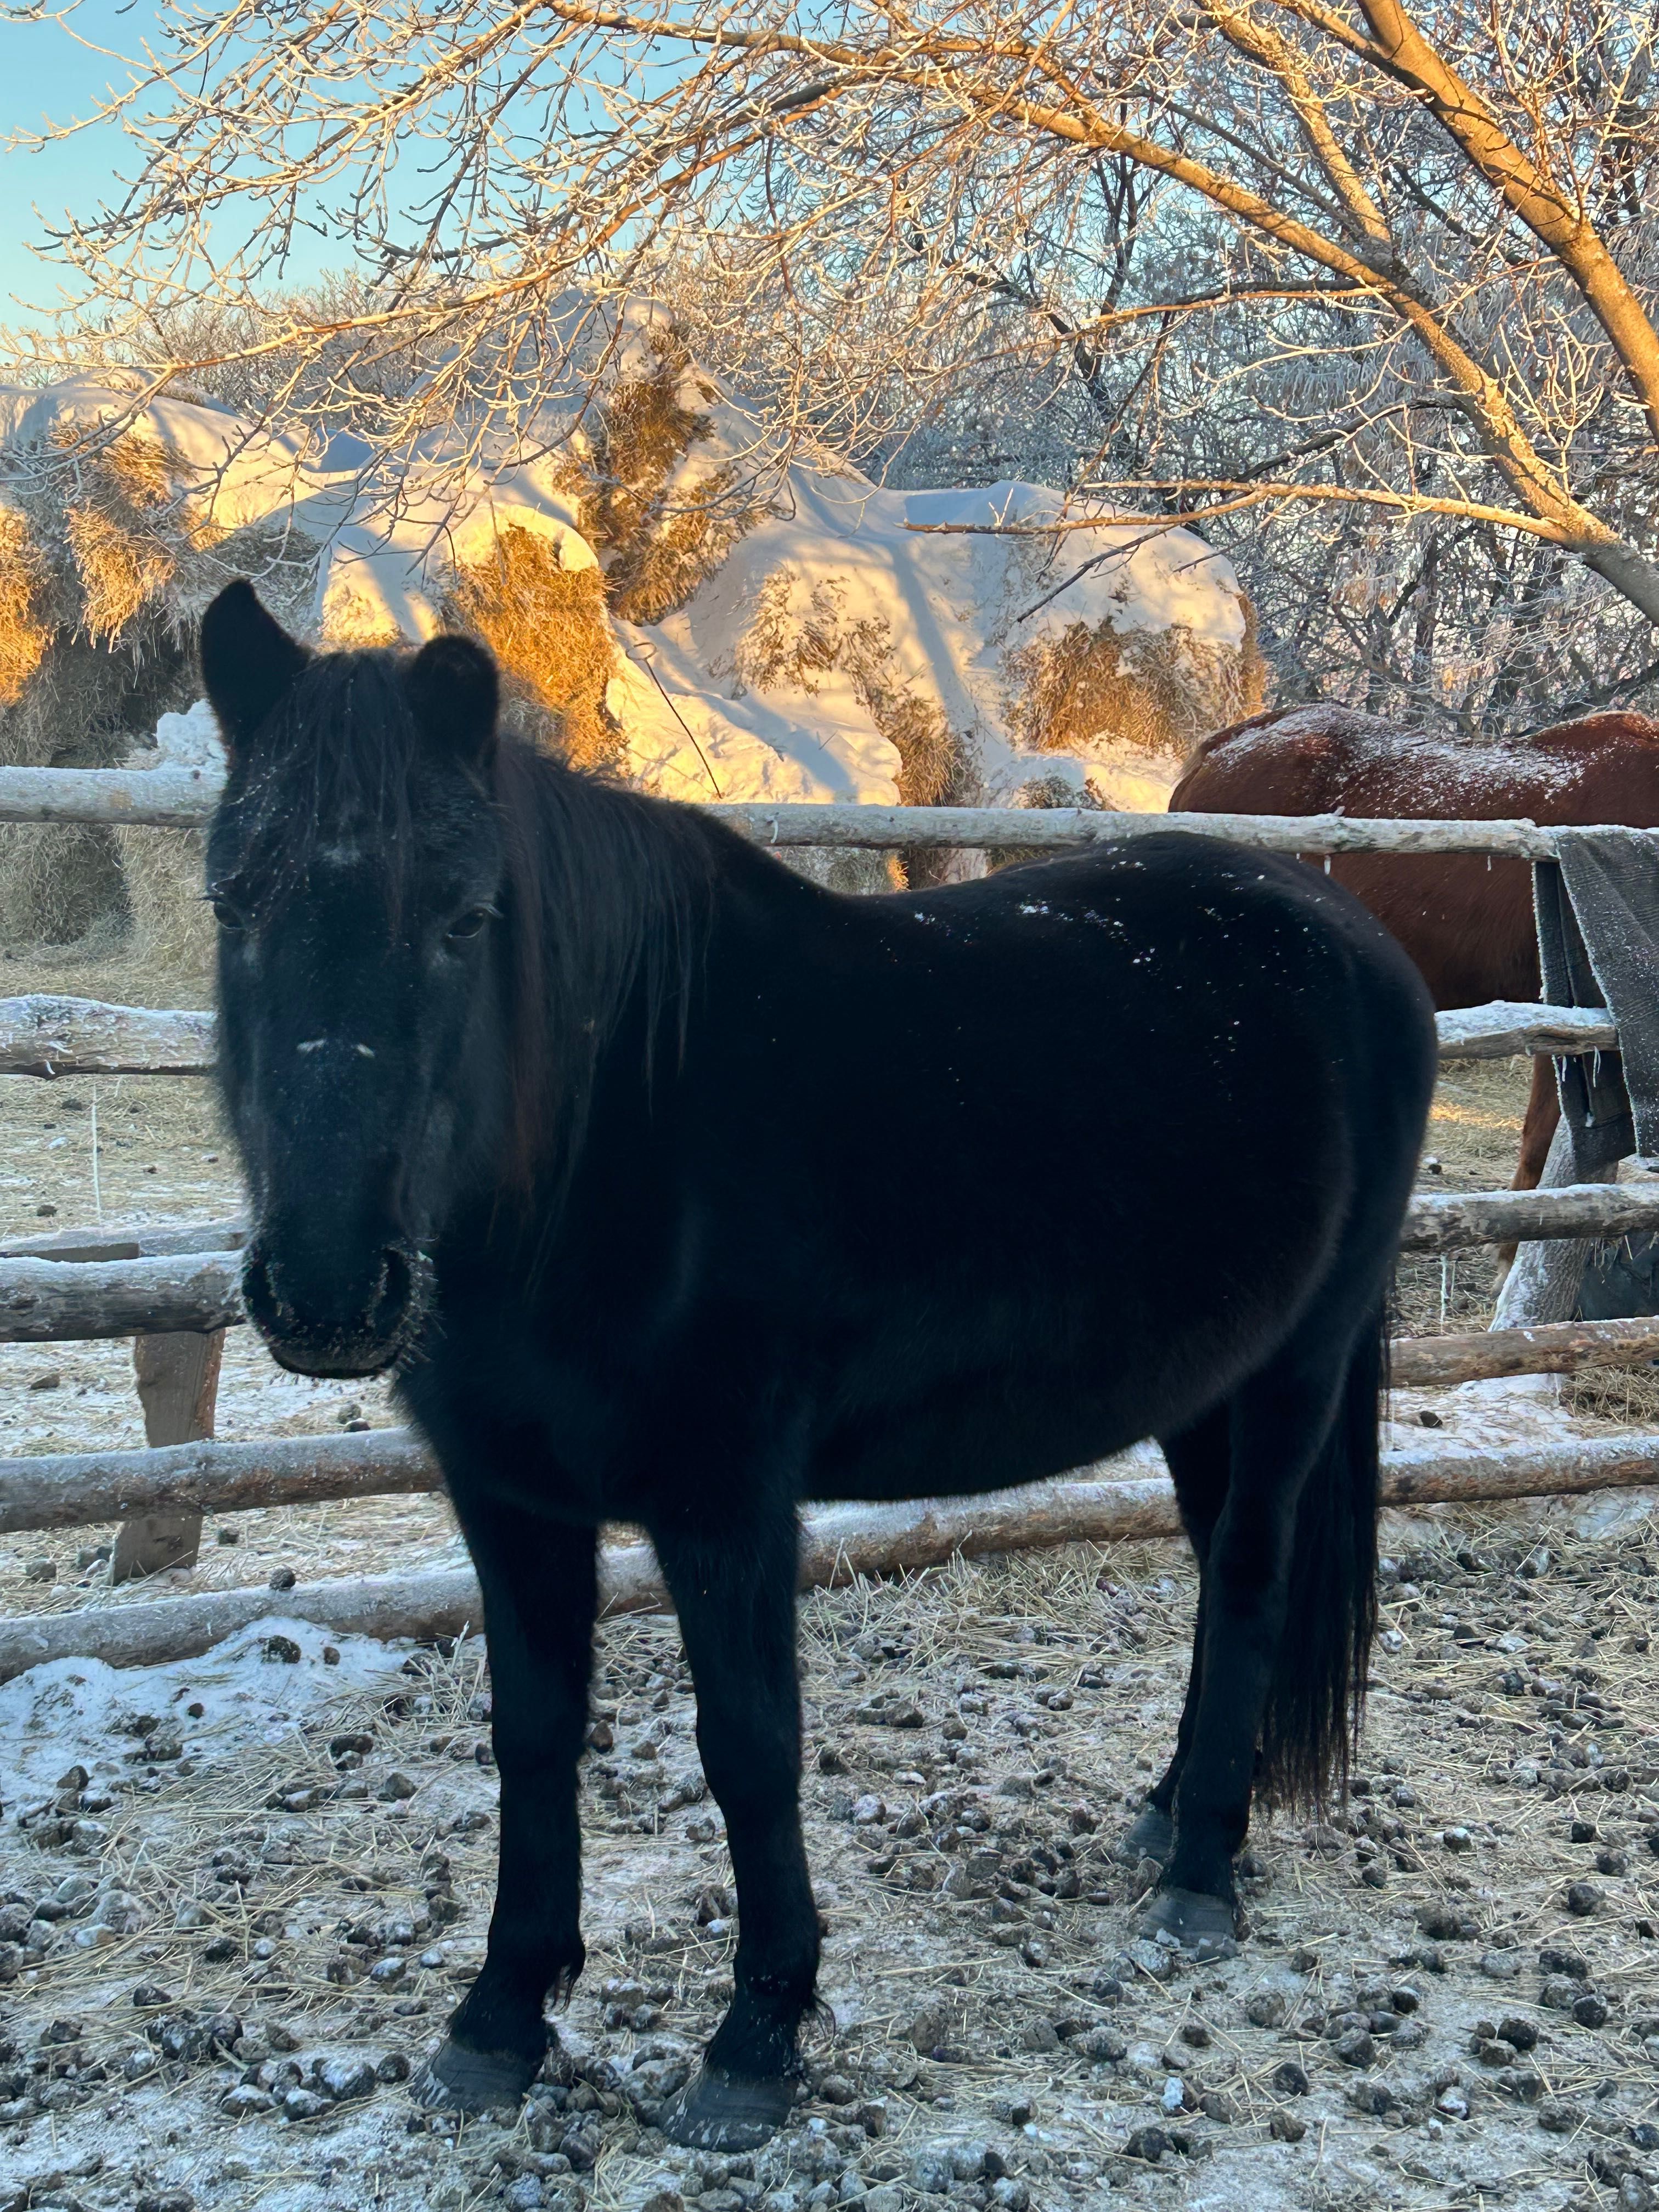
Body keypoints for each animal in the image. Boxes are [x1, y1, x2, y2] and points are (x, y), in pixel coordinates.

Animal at [198, 584, 1442, 2141]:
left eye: (464, 919)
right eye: (232, 903)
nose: (323, 1290)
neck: (613, 1138)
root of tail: (1351, 934)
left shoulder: (727, 1505)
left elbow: (751, 1749)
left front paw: (756, 2039)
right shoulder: (511, 1500)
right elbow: (532, 1735)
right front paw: (500, 2020)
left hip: (1296, 1374)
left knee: (1258, 1580)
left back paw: (1201, 1875)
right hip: (1204, 1388)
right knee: (1222, 1575)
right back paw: (1167, 1818)